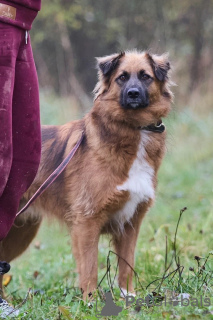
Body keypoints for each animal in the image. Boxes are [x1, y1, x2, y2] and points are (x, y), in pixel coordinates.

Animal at [0, 50, 173, 300]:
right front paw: (90, 301)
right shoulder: (86, 221)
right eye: (122, 77)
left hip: (20, 231)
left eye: (145, 77)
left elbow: (127, 265)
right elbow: (89, 267)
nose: (133, 93)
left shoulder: (130, 223)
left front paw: (129, 297)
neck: (134, 129)